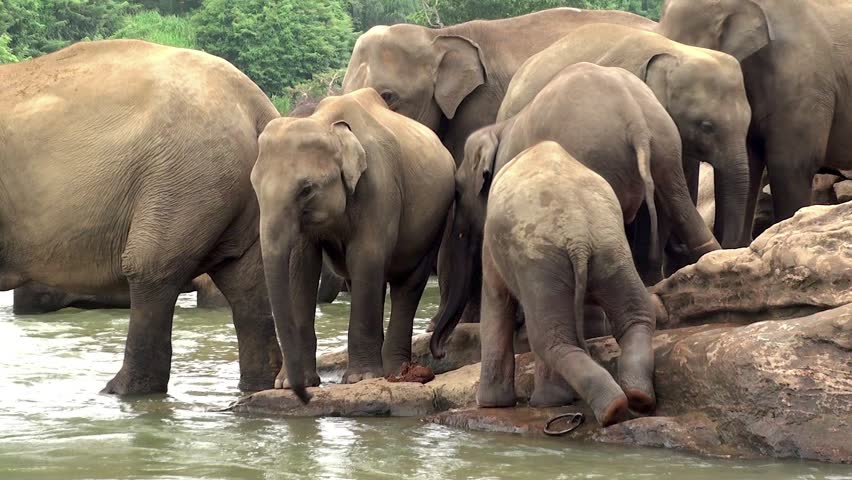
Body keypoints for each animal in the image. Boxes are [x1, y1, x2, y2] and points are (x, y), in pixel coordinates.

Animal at [0, 40, 282, 395]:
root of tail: (257, 103)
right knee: (245, 281)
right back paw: (258, 386)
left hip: (183, 175)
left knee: (150, 268)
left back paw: (118, 391)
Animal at [251, 88, 455, 401]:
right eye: (254, 186)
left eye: (306, 189)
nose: (304, 397)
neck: (327, 124)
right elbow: (301, 266)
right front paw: (287, 384)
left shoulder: (380, 187)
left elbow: (365, 257)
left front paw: (361, 379)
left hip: (433, 223)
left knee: (407, 283)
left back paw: (394, 372)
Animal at [430, 63, 719, 357]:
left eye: (457, 191)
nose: (439, 351)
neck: (496, 130)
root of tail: (634, 118)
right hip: (666, 145)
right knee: (680, 207)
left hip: (597, 154)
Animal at [477, 141, 656, 427]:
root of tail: (579, 236)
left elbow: (497, 299)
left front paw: (490, 405)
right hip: (610, 248)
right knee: (636, 316)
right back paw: (635, 399)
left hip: (541, 262)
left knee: (550, 339)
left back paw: (606, 408)